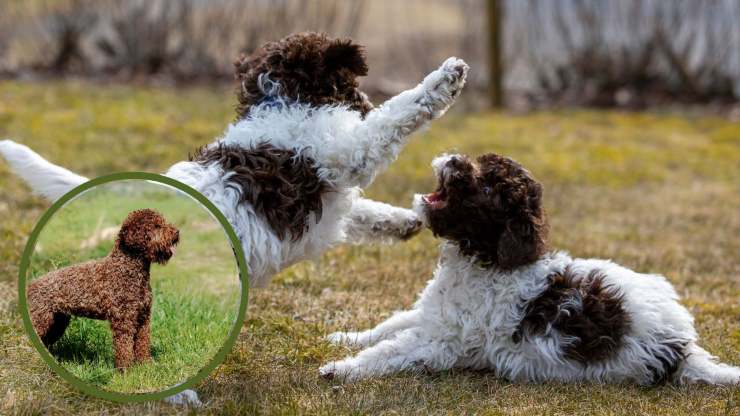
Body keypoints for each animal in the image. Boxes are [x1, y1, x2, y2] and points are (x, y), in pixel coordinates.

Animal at [0, 32, 468, 288]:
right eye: (350, 86)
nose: (365, 102)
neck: (282, 102)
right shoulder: (346, 154)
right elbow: (397, 115)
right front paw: (444, 80)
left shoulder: (330, 202)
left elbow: (364, 214)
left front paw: (404, 222)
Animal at [28, 210, 181, 368]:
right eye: (156, 226)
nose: (177, 232)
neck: (127, 269)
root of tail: (31, 285)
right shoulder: (124, 320)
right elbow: (124, 347)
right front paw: (126, 369)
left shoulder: (143, 318)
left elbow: (142, 343)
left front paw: (146, 365)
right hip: (42, 320)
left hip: (58, 322)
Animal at [324, 151, 740, 386]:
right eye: (479, 164)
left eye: (488, 189)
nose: (454, 160)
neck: (484, 259)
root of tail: (682, 348)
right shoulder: (433, 316)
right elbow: (390, 324)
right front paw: (346, 337)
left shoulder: (441, 342)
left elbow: (389, 351)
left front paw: (340, 369)